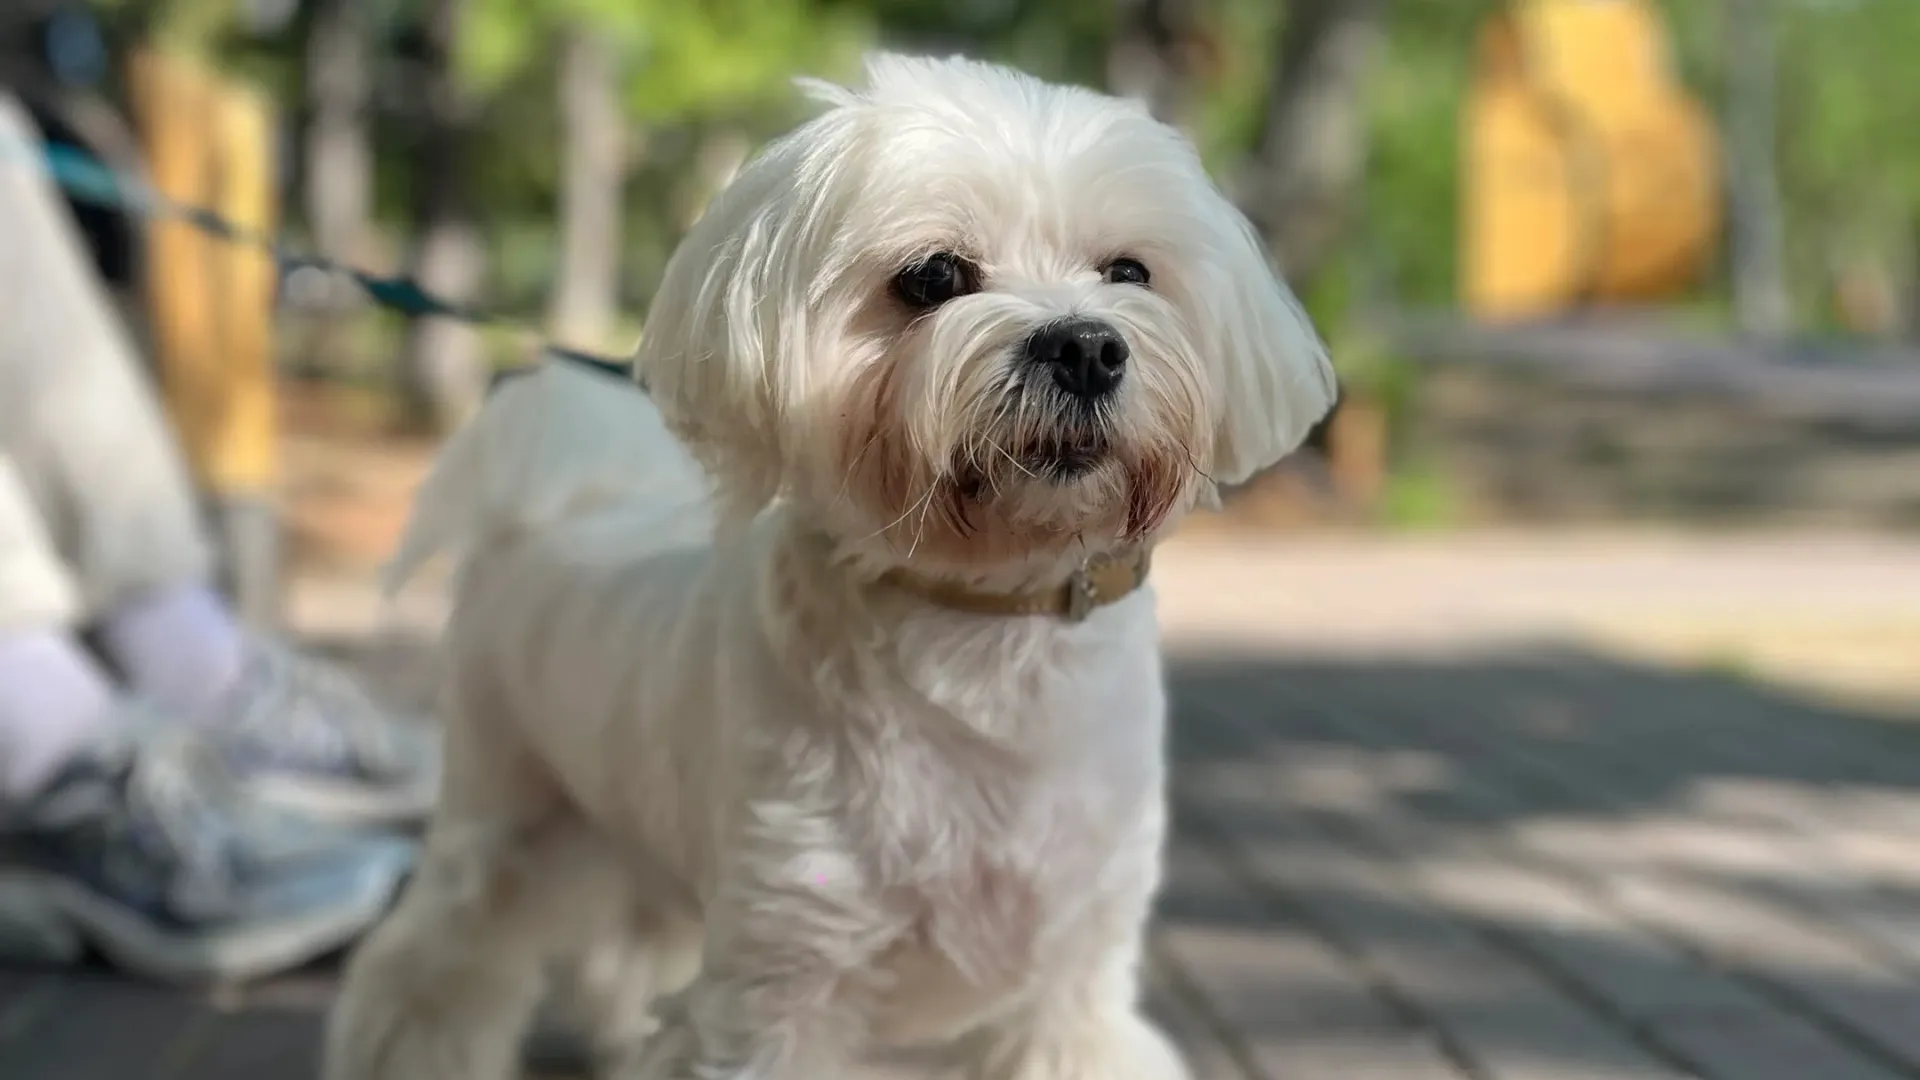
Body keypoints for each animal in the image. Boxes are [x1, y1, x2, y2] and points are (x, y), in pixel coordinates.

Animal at [322, 54, 1328, 1076]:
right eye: (933, 276)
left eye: (1129, 272)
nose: (1085, 343)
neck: (982, 628)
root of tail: (553, 506)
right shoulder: (785, 967)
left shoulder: (1070, 979)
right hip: (505, 815)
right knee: (434, 962)